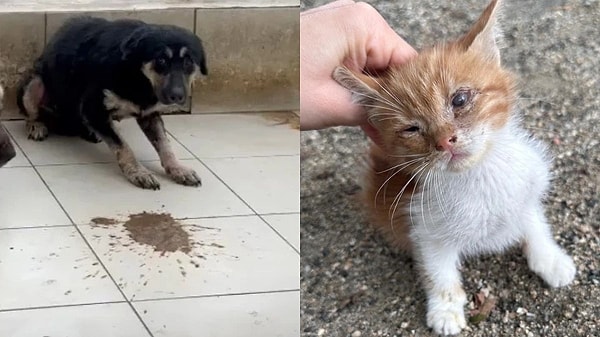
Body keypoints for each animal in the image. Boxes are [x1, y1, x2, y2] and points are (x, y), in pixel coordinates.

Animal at [17, 17, 207, 189]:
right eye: (161, 60)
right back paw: (36, 125)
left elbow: (165, 144)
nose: (177, 96)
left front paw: (178, 169)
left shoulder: (149, 114)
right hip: (35, 83)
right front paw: (138, 172)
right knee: (32, 113)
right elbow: (123, 146)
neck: (137, 76)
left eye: (189, 62)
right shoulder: (92, 108)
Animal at [336, 1, 576, 334]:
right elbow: (440, 274)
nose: (444, 142)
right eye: (412, 129)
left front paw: (551, 258)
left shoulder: (526, 186)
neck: (479, 178)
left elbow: (534, 222)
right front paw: (445, 309)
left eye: (459, 99)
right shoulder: (424, 229)